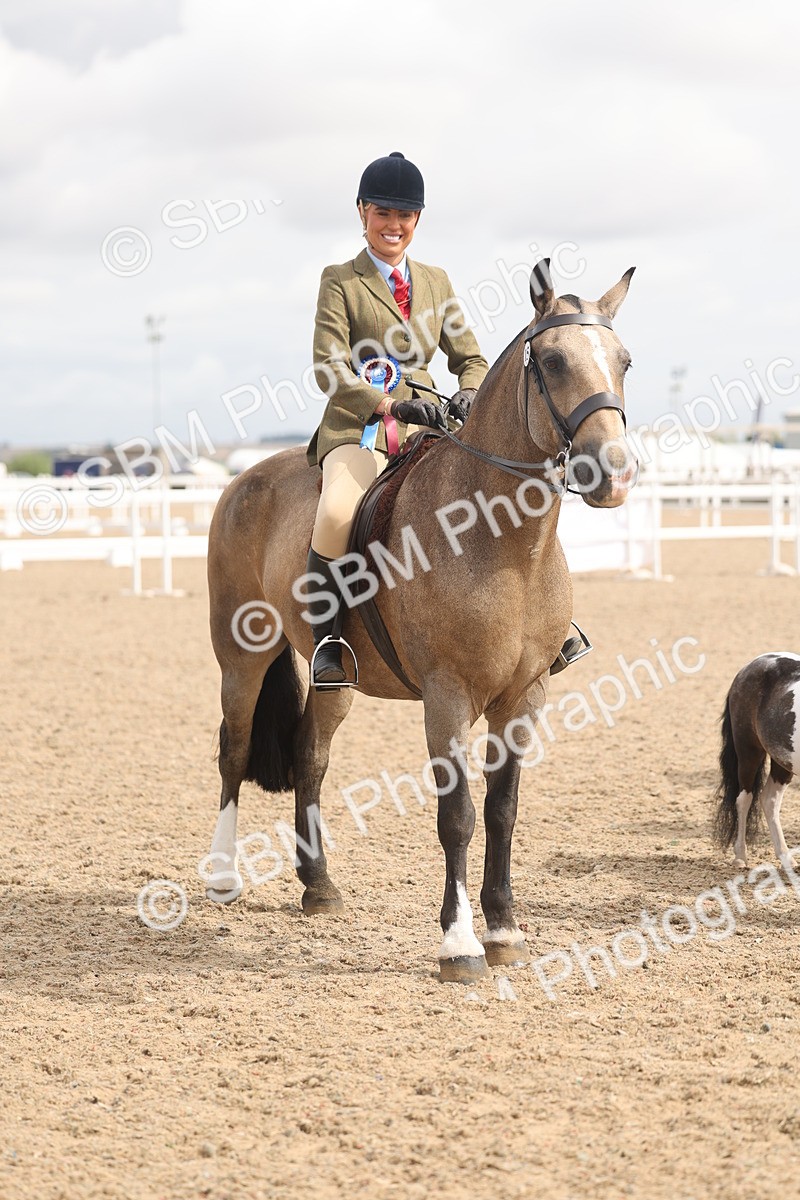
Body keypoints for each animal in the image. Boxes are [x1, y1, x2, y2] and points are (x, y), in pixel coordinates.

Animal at [204, 261, 639, 983]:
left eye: (624, 360)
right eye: (551, 360)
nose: (614, 472)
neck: (504, 545)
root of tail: (246, 480)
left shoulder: (525, 696)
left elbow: (502, 809)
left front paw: (505, 930)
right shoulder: (448, 696)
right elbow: (457, 816)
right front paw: (459, 944)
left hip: (337, 678)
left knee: (310, 756)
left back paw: (318, 886)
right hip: (243, 657)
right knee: (233, 750)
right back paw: (221, 877)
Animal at [713, 653, 800, 869]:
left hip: (782, 761)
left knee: (769, 800)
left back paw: (786, 858)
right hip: (749, 753)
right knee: (744, 799)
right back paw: (740, 857)